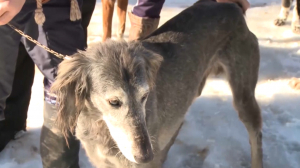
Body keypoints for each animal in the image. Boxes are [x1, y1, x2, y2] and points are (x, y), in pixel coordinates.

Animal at [51, 0, 262, 167]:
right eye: (114, 102)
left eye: (145, 96)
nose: (145, 156)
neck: (101, 127)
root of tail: (230, 6)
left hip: (244, 96)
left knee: (256, 133)